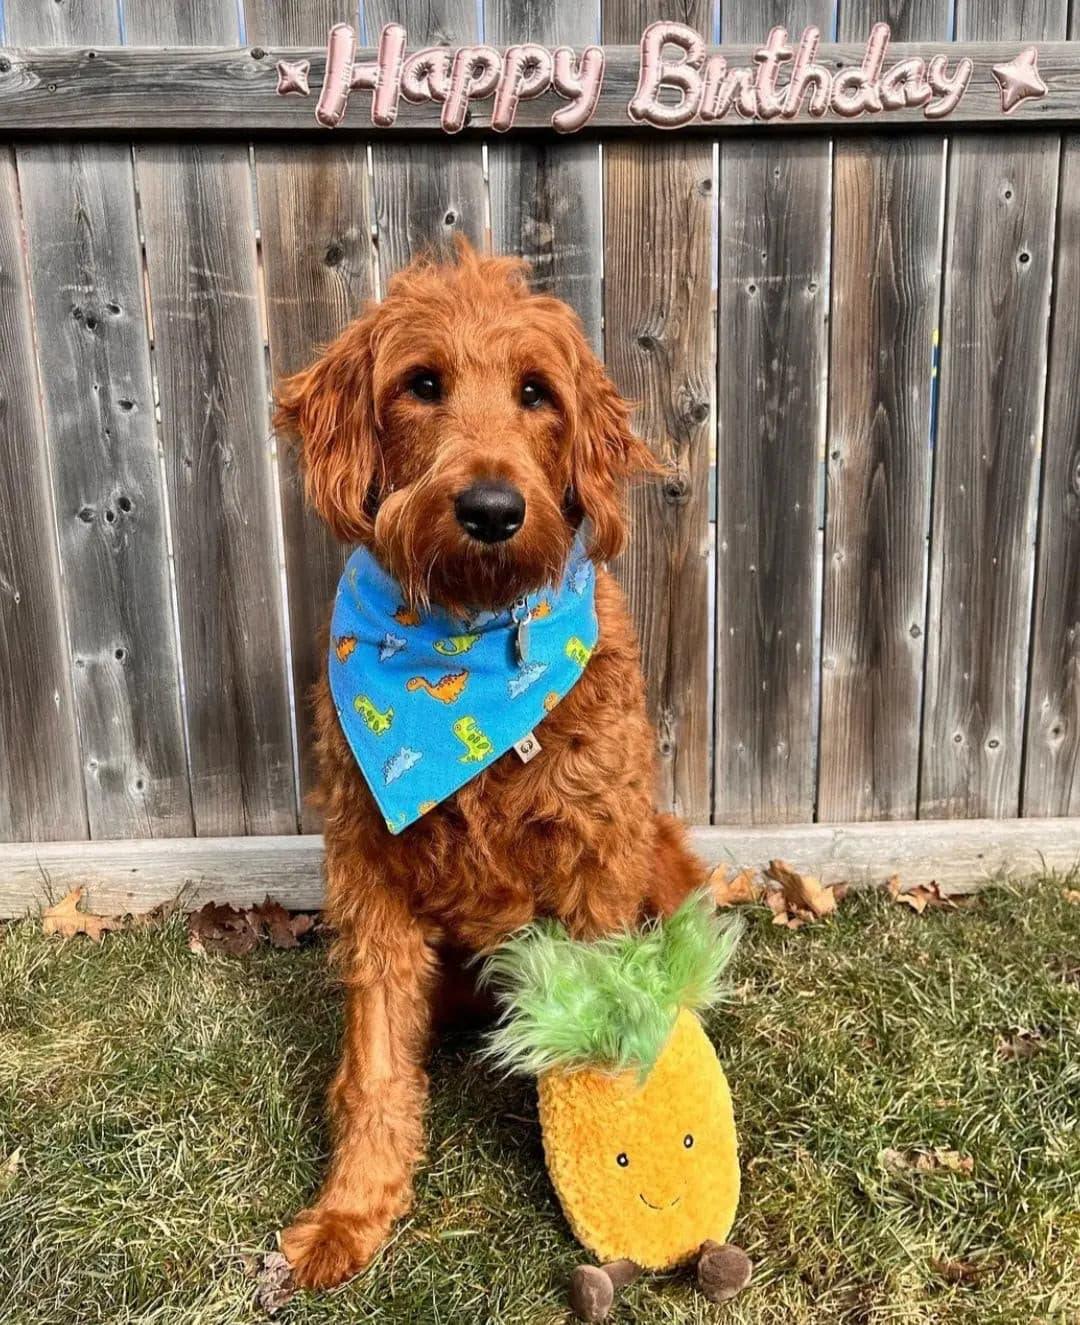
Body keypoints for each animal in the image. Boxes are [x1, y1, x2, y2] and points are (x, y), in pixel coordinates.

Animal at [274, 243, 704, 1287]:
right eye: (422, 384)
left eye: (536, 392)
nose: (493, 508)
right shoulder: (369, 874)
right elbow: (378, 1067)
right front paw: (352, 1210)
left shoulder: (598, 858)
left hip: (663, 857)